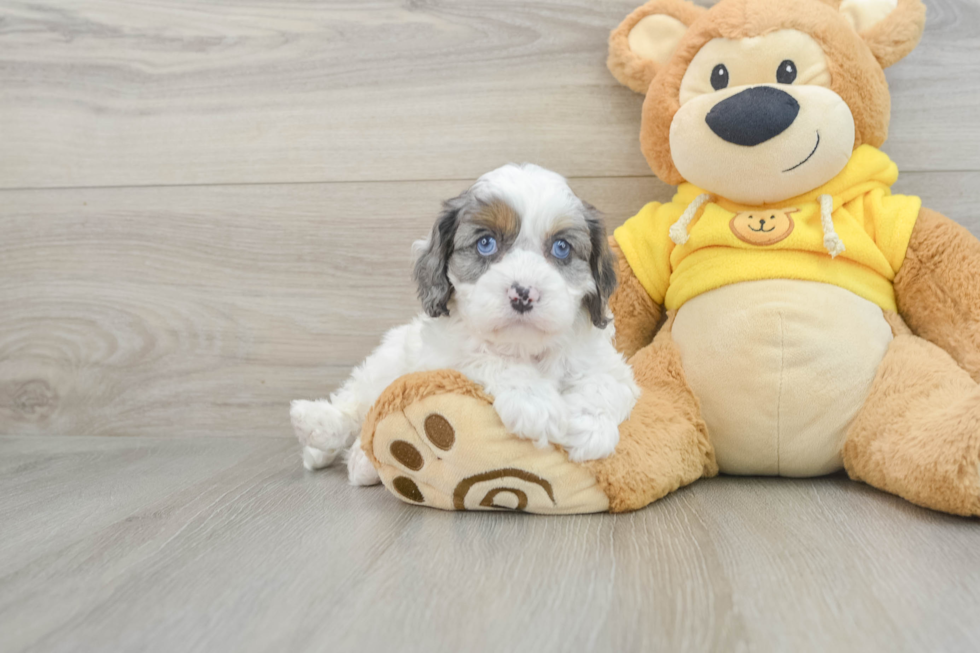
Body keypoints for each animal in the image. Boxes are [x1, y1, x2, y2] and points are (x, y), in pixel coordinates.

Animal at [290, 164, 644, 484]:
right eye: (485, 243)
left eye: (561, 247)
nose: (523, 294)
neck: (525, 347)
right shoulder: (442, 357)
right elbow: (488, 358)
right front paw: (535, 402)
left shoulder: (605, 362)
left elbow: (606, 383)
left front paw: (588, 426)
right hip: (385, 363)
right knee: (356, 406)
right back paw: (317, 430)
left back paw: (358, 462)